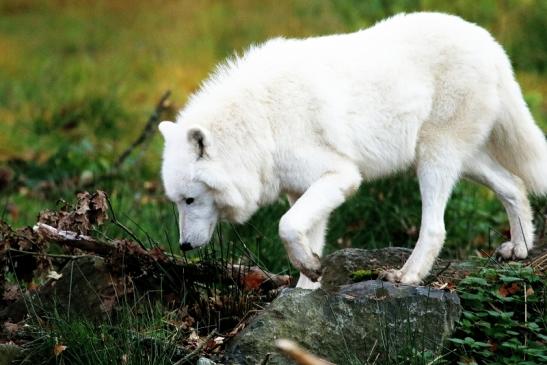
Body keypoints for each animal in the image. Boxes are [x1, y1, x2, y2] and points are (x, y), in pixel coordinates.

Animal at [158, 12, 547, 288]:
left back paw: (407, 276)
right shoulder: (301, 188)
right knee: (514, 185)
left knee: (436, 228)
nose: (184, 247)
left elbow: (286, 226)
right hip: (460, 160)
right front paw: (306, 289)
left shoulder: (342, 175)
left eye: (190, 200)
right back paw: (520, 249)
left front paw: (308, 271)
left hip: (435, 160)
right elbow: (306, 235)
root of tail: (490, 43)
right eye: (176, 201)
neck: (261, 121)